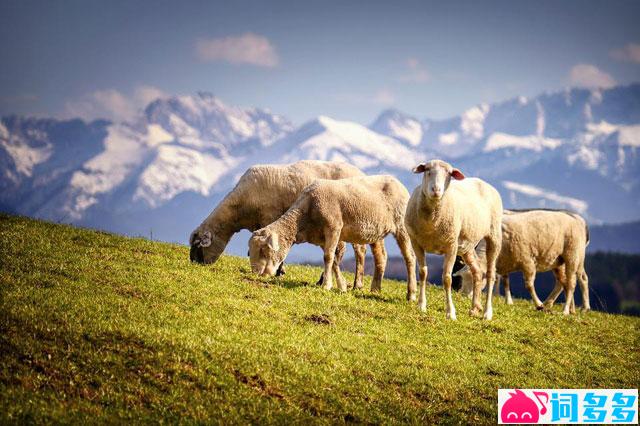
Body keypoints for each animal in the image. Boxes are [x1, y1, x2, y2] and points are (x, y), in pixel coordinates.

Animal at [188, 160, 382, 290]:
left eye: (198, 246)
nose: (195, 264)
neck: (239, 209)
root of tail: (362, 173)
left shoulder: (270, 216)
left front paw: (279, 271)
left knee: (358, 252)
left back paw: (355, 284)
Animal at [245, 174, 416, 296]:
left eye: (264, 250)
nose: (257, 274)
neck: (304, 217)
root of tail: (398, 182)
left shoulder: (333, 227)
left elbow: (328, 257)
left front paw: (327, 285)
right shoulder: (322, 236)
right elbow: (333, 259)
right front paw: (342, 286)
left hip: (402, 226)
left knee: (410, 257)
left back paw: (411, 294)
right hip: (376, 231)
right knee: (381, 256)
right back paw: (375, 289)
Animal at [404, 160, 504, 320]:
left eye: (449, 174)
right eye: (427, 170)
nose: (436, 190)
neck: (431, 223)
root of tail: (483, 182)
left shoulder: (451, 246)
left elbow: (447, 279)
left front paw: (450, 312)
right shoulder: (416, 243)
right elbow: (423, 273)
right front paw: (421, 305)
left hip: (494, 235)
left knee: (490, 275)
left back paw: (487, 312)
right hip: (467, 245)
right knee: (477, 272)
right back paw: (474, 308)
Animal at [456, 208, 592, 314]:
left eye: (475, 280)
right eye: (463, 278)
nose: (463, 295)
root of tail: (577, 220)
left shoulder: (528, 261)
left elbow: (529, 285)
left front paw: (538, 304)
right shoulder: (503, 263)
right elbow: (506, 282)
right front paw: (509, 301)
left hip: (573, 256)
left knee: (575, 281)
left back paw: (569, 309)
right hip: (558, 261)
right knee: (563, 282)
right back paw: (563, 307)